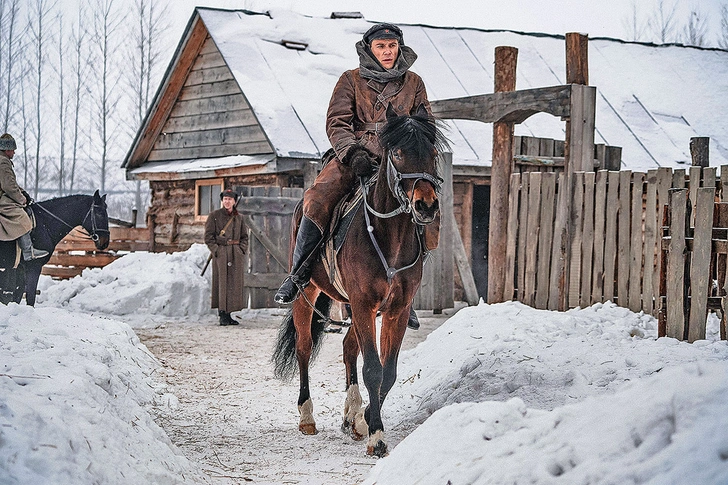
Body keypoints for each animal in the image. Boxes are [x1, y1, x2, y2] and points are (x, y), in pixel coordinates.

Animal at [274, 104, 450, 456]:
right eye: (397, 153)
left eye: (432, 152)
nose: (426, 205)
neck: (389, 237)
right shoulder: (364, 304)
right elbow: (372, 369)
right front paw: (377, 436)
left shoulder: (394, 310)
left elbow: (388, 372)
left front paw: (367, 418)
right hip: (308, 294)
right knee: (304, 348)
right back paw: (307, 416)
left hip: (353, 309)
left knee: (346, 348)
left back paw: (352, 415)